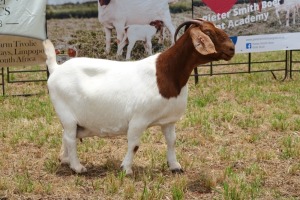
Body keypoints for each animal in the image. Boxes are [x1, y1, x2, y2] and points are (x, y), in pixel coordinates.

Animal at [42, 19, 234, 175]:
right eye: (208, 32)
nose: (232, 48)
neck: (167, 73)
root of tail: (56, 69)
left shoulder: (169, 120)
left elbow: (172, 141)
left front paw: (175, 166)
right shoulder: (138, 119)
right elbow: (134, 145)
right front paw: (126, 169)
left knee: (67, 136)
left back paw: (65, 160)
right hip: (66, 114)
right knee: (69, 137)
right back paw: (78, 167)